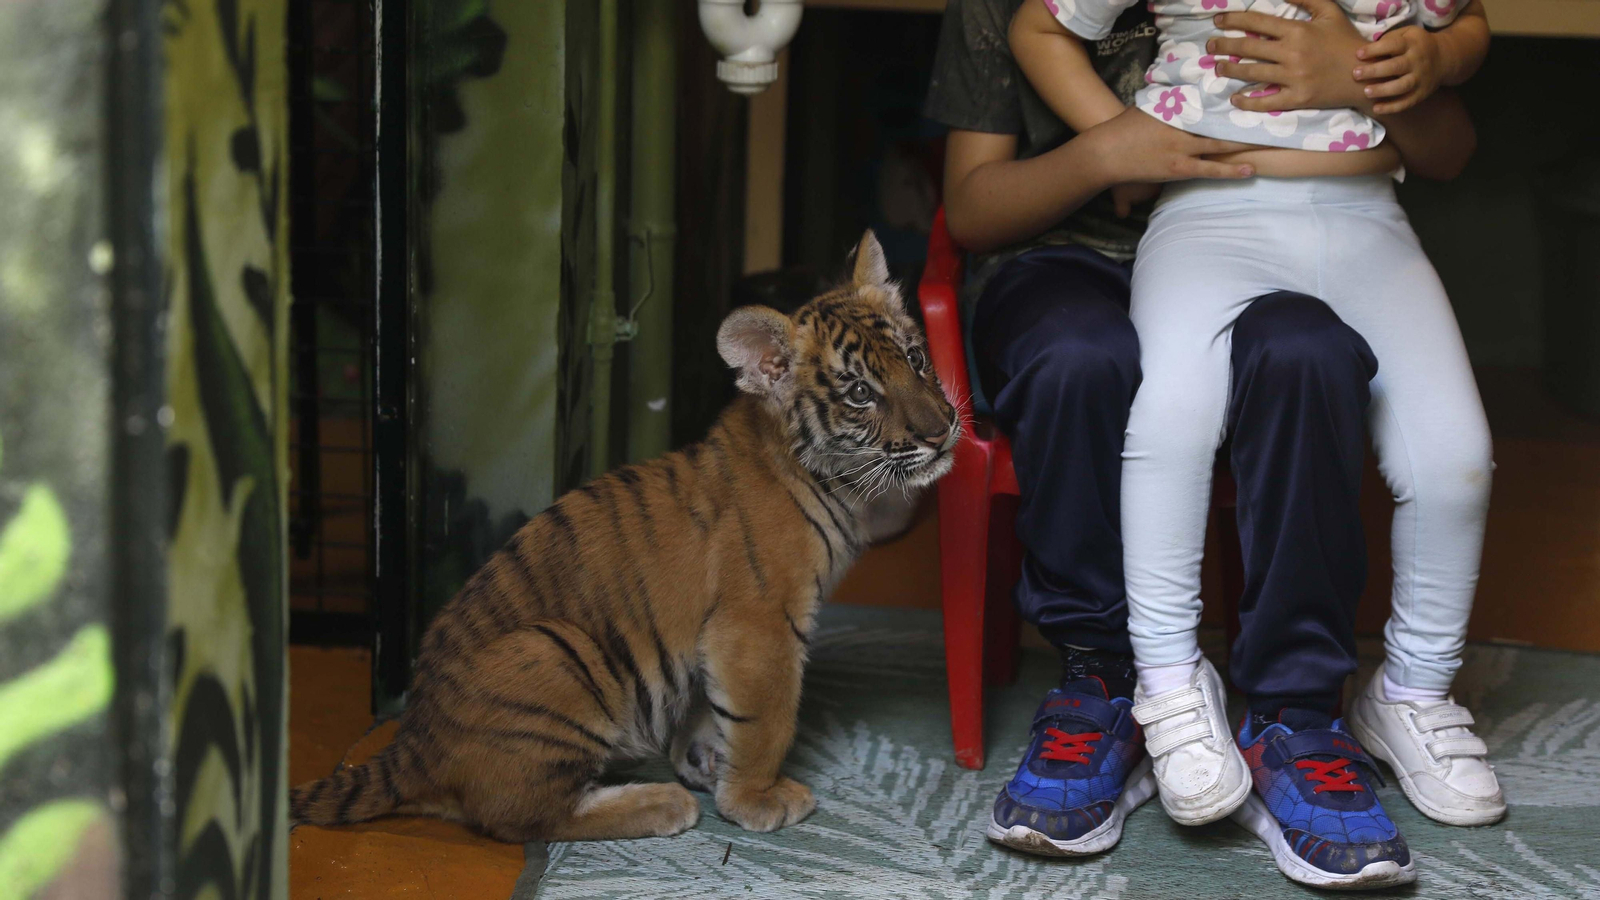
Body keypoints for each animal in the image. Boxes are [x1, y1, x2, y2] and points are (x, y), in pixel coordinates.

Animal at [289, 231, 960, 843]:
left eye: (916, 358)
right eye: (860, 393)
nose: (943, 429)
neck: (834, 477)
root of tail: (411, 744)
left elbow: (708, 709)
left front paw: (705, 761)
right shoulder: (761, 623)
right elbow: (767, 719)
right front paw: (757, 798)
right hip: (554, 650)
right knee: (525, 817)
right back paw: (659, 803)